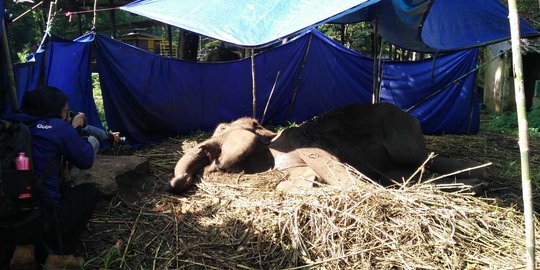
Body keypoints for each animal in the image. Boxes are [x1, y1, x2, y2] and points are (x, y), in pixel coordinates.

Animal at [171, 102, 488, 193]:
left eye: (222, 130)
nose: (178, 182)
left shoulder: (306, 145)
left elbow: (344, 178)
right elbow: (291, 182)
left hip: (401, 133)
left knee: (425, 157)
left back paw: (480, 178)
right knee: (406, 173)